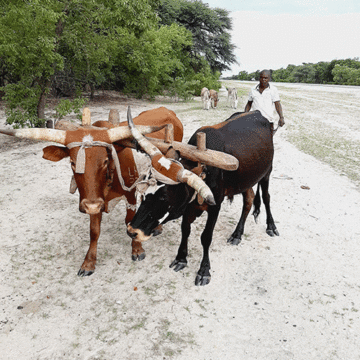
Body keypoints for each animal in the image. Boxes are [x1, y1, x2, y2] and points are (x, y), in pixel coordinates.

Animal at [0, 107, 184, 276]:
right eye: (72, 162)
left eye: (105, 161)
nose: (91, 206)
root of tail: (166, 110)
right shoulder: (93, 199)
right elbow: (94, 231)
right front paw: (88, 263)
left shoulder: (129, 195)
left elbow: (129, 221)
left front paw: (137, 248)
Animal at [126, 111, 278, 286]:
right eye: (144, 190)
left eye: (163, 197)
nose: (132, 231)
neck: (204, 169)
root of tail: (257, 113)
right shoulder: (188, 207)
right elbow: (185, 230)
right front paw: (181, 258)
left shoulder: (215, 206)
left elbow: (206, 237)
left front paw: (204, 270)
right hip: (246, 180)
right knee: (249, 200)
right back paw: (237, 234)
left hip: (267, 173)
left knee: (266, 197)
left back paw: (271, 226)